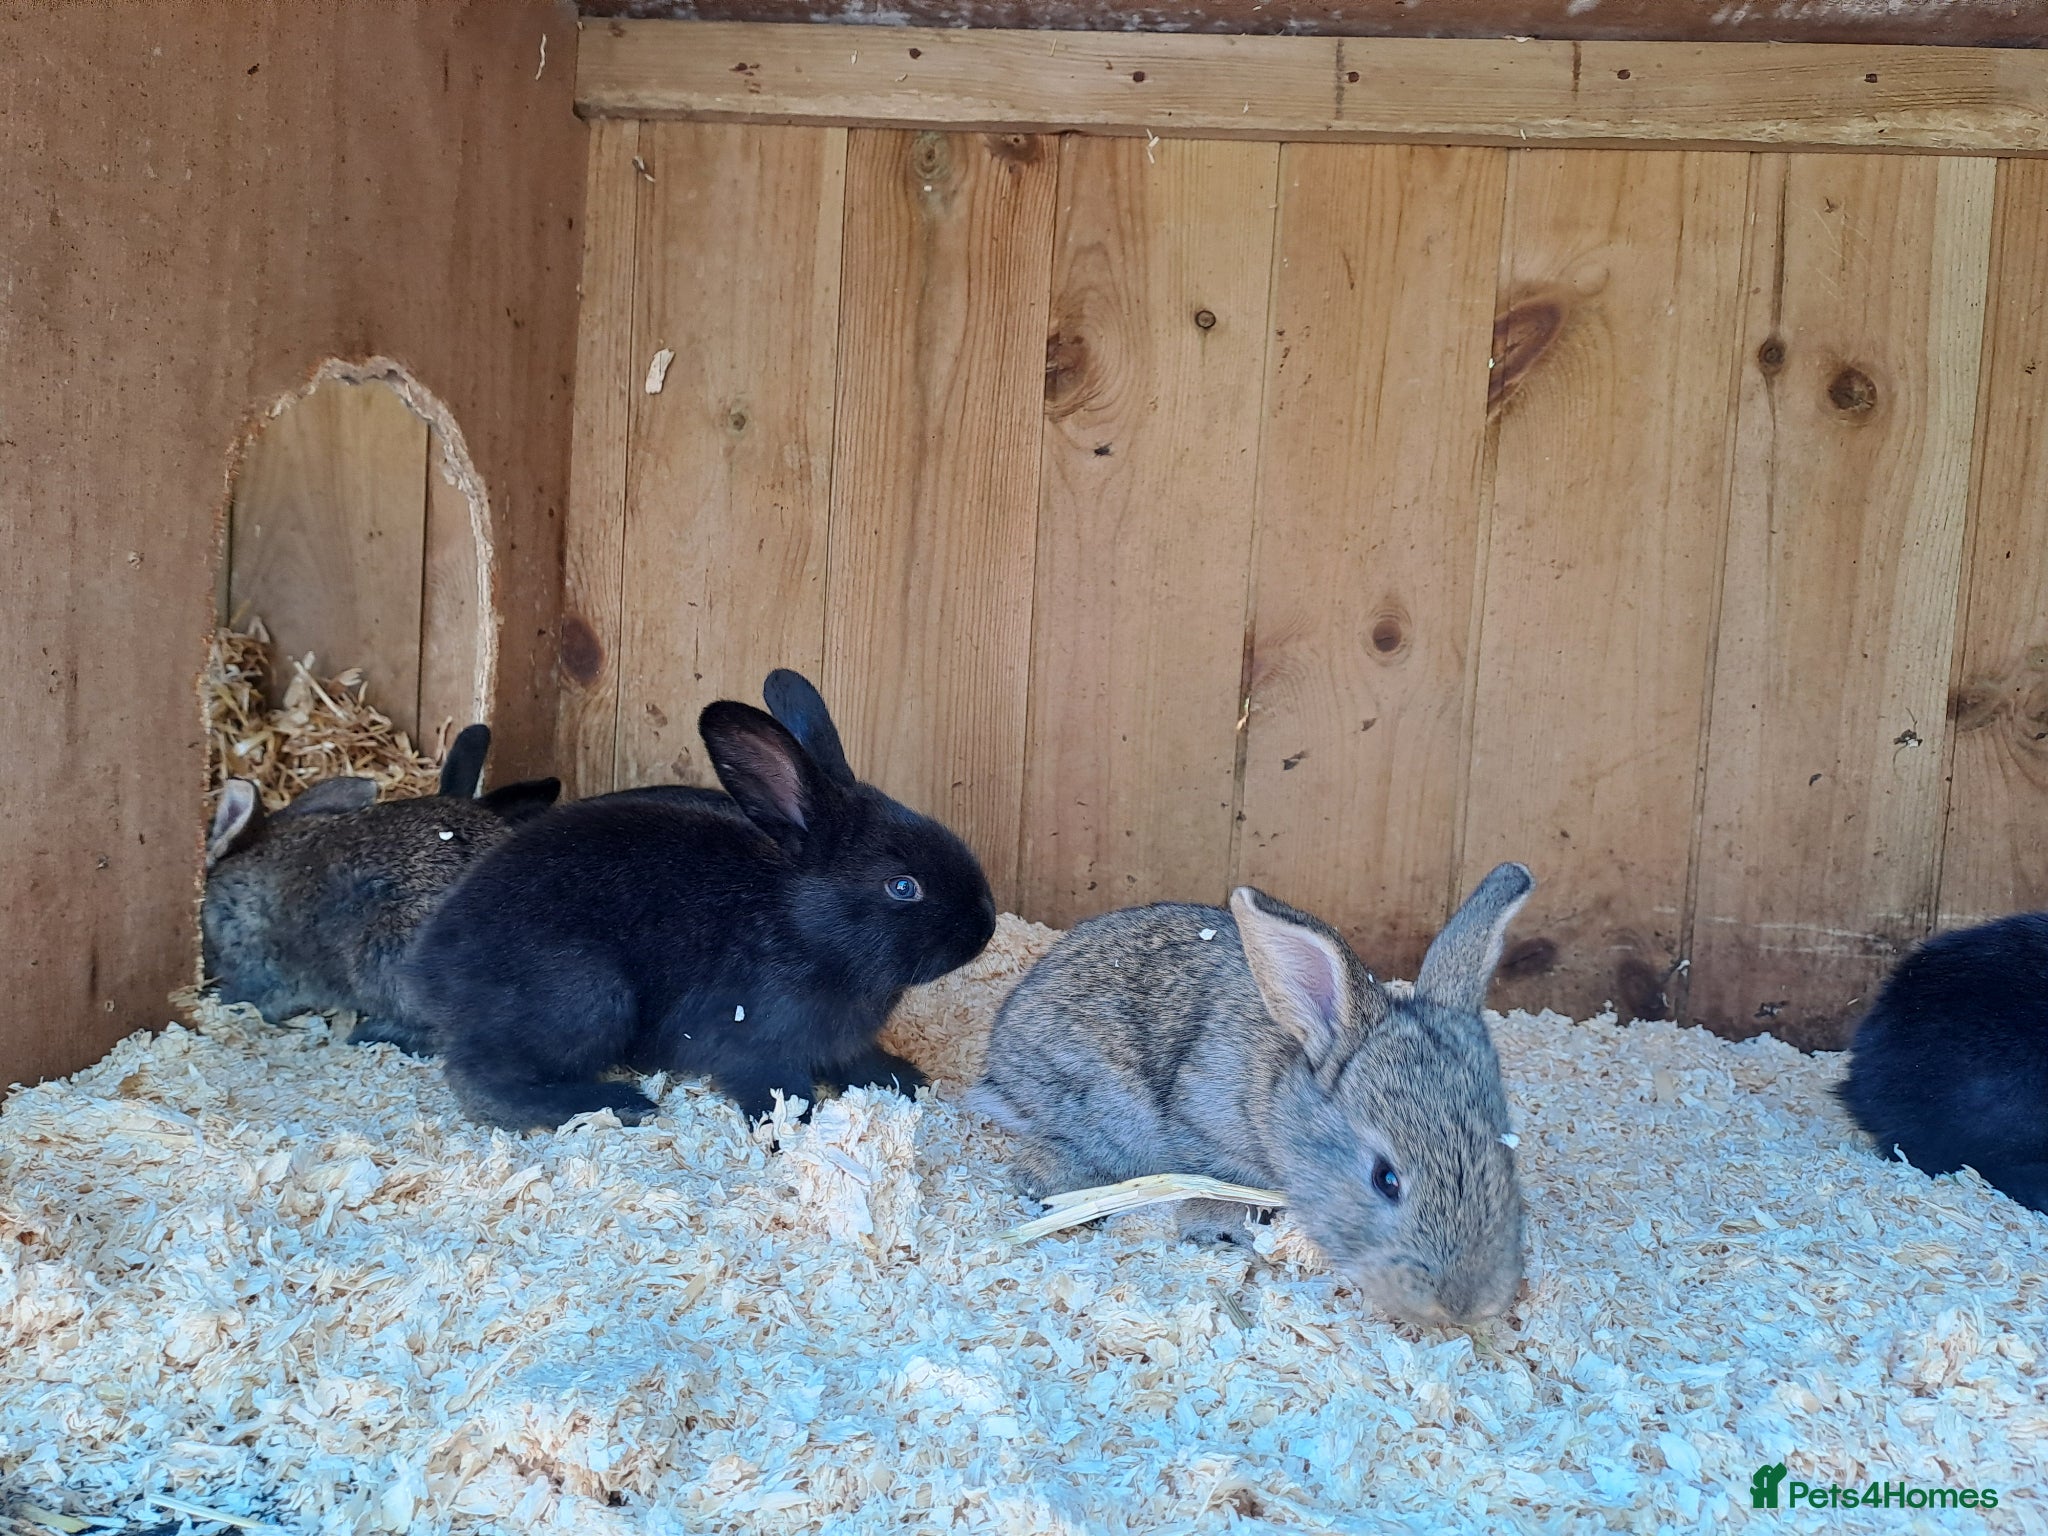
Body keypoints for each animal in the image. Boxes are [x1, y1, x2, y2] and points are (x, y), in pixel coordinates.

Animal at [400, 669, 1000, 1130]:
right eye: (903, 886)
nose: (987, 926)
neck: (803, 929)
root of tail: (428, 968)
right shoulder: (758, 1046)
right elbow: (780, 1090)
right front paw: (791, 1130)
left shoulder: (843, 1045)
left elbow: (860, 1065)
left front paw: (907, 1080)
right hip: (587, 995)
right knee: (481, 1079)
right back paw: (613, 1104)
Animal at [968, 862, 1535, 1328]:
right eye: (1386, 1179)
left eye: (1508, 1158)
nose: (1463, 1305)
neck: (1282, 1094)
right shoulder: (1208, 1133)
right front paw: (1218, 1232)